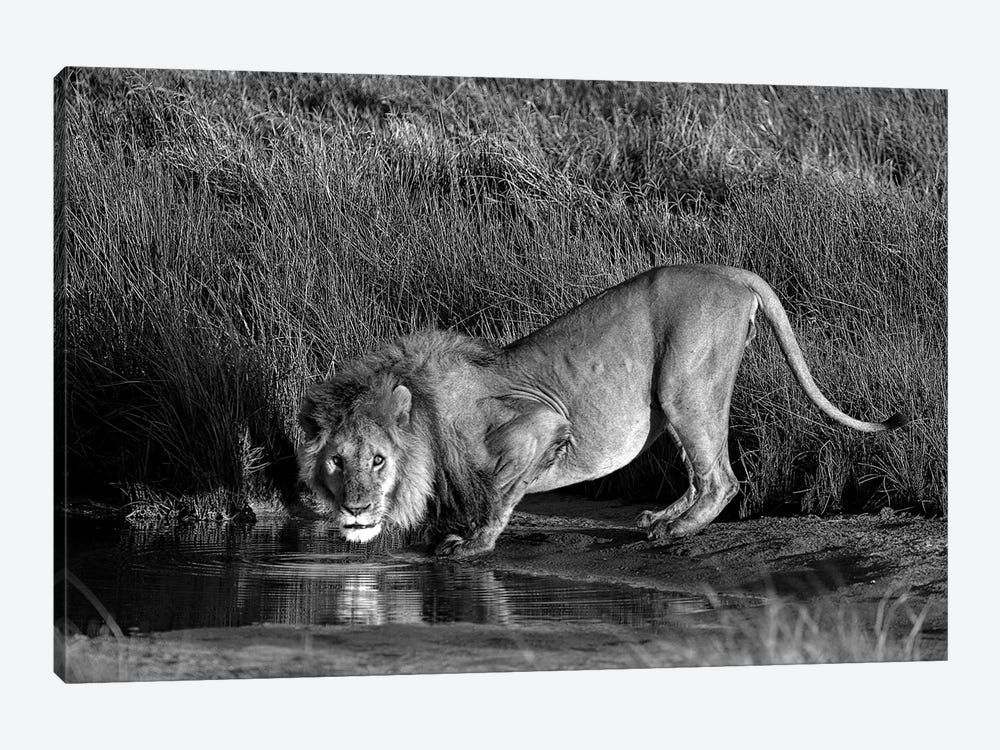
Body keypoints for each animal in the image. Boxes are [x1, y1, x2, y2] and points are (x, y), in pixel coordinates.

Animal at [296, 266, 908, 560]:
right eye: (336, 461)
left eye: (378, 460)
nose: (355, 508)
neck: (424, 410)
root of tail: (732, 272)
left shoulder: (541, 424)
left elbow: (498, 491)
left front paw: (473, 544)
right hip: (669, 400)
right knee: (698, 471)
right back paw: (660, 517)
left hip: (684, 380)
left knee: (722, 478)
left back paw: (675, 530)